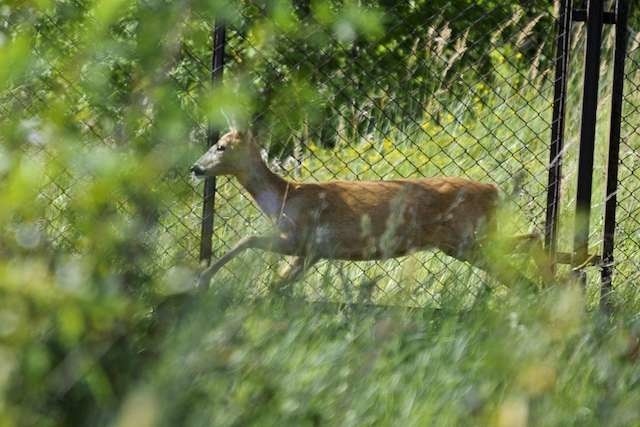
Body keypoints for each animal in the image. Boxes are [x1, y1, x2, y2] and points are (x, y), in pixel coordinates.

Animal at [189, 130, 552, 290]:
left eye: (220, 146)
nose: (195, 168)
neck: (284, 197)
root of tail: (494, 190)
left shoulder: (303, 236)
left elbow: (247, 239)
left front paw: (204, 275)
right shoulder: (312, 251)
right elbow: (279, 283)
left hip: (467, 239)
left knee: (525, 252)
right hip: (467, 242)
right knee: (525, 253)